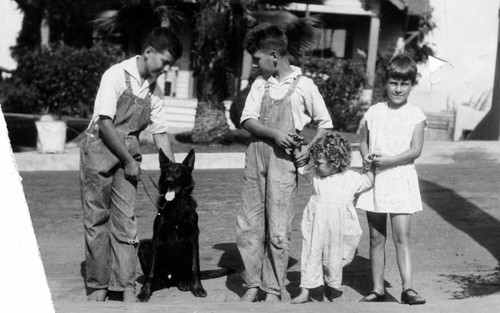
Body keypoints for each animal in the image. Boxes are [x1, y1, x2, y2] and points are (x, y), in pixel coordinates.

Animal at [136, 149, 206, 300]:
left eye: (179, 172)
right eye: (166, 171)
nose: (169, 181)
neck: (176, 205)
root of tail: (171, 279)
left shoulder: (193, 239)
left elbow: (195, 267)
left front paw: (198, 287)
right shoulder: (156, 239)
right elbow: (151, 271)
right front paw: (146, 290)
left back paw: (184, 282)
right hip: (144, 246)